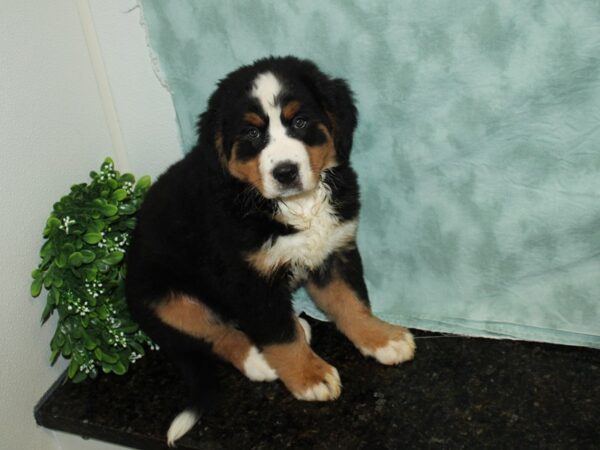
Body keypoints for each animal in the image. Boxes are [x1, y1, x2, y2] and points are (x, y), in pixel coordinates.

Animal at [125, 57, 418, 446]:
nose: (285, 172)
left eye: (300, 122)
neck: (297, 206)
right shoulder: (248, 280)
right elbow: (279, 334)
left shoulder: (334, 251)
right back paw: (260, 359)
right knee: (215, 335)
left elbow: (352, 302)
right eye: (251, 134)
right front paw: (310, 375)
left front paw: (382, 339)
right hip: (162, 295)